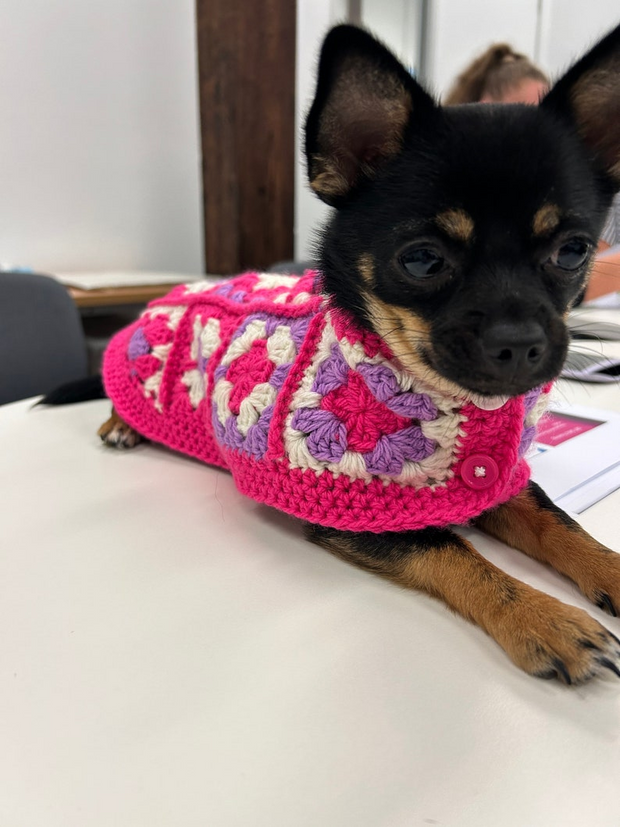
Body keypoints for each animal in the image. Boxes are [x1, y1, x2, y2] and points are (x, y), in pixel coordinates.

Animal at [82, 27, 620, 684]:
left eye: (573, 252)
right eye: (421, 260)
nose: (518, 344)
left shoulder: (498, 487)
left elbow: (560, 523)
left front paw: (612, 571)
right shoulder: (354, 515)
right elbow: (455, 552)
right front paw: (544, 617)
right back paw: (120, 424)